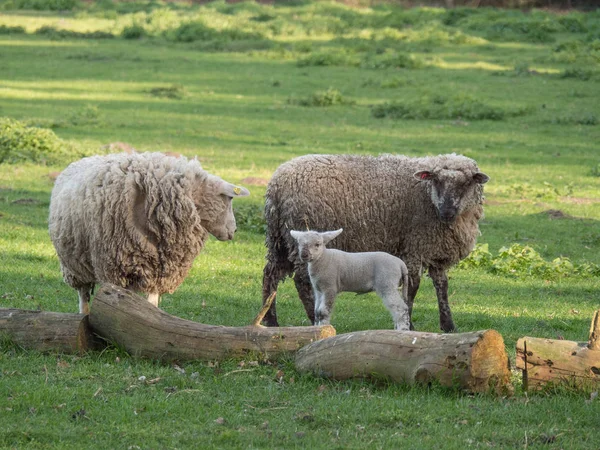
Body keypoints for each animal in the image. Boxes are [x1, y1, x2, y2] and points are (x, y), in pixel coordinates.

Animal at [48, 151, 251, 312]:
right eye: (228, 199)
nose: (234, 230)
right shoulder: (115, 268)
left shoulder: (159, 269)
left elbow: (151, 302)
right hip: (74, 265)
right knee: (83, 295)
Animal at [262, 153, 488, 332]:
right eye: (437, 181)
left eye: (466, 183)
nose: (447, 212)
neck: (427, 196)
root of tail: (277, 185)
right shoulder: (415, 245)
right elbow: (413, 286)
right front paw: (410, 324)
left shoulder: (436, 251)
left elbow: (442, 286)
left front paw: (448, 325)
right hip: (302, 235)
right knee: (302, 280)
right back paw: (311, 320)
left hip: (279, 239)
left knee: (270, 274)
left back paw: (269, 320)